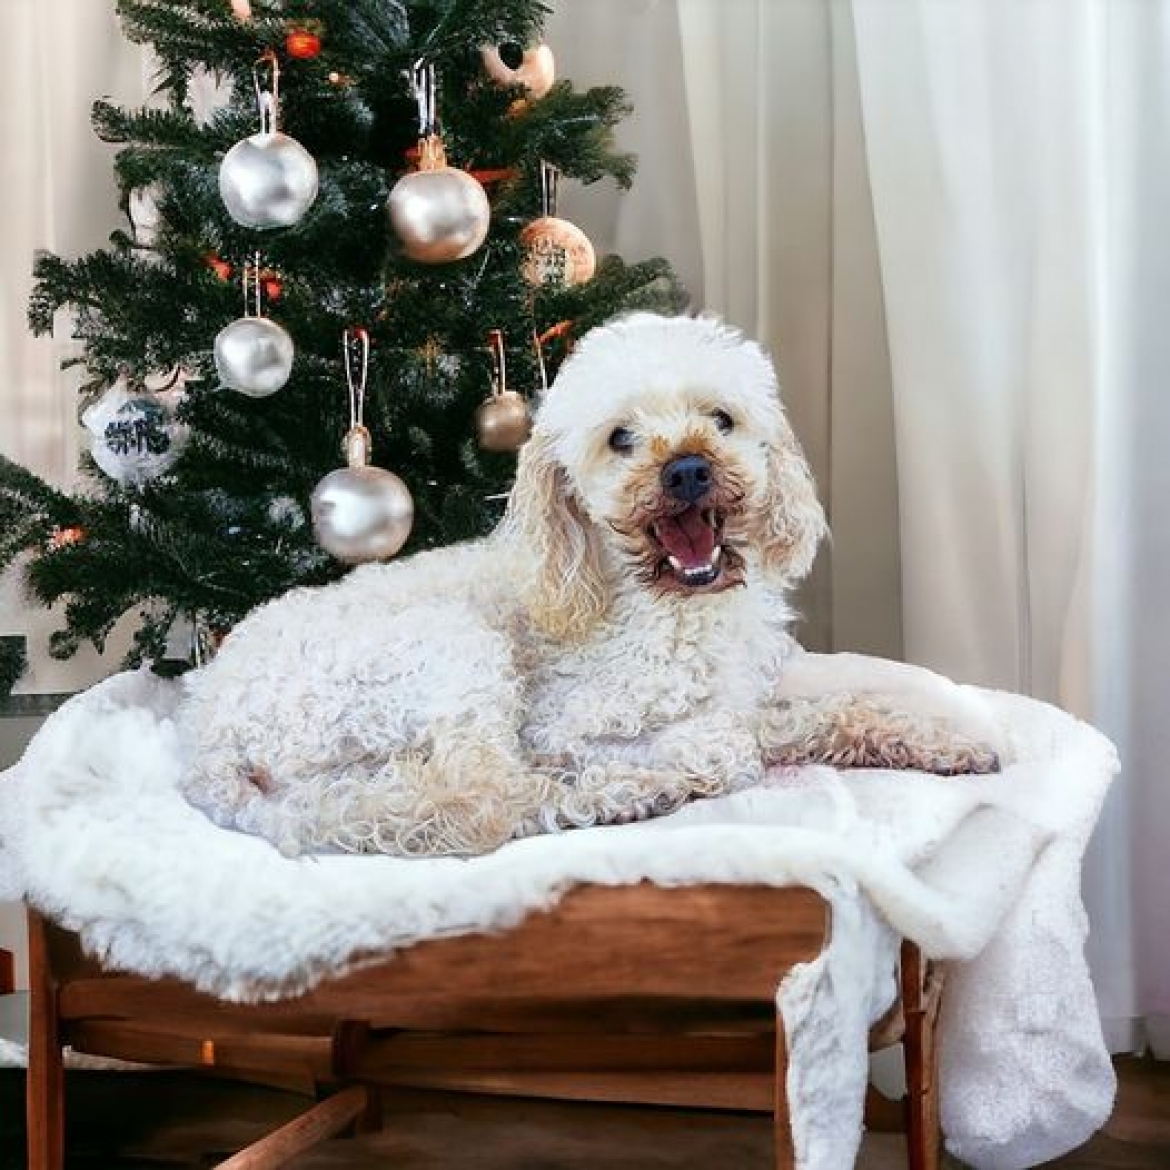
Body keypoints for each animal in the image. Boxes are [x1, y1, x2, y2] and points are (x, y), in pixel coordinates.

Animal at [180, 313, 996, 861]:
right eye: (620, 438)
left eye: (721, 419)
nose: (688, 469)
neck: (669, 603)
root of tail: (208, 726)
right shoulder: (567, 722)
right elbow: (721, 742)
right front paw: (673, 765)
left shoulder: (745, 693)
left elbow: (832, 707)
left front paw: (945, 740)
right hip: (455, 652)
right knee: (477, 798)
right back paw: (624, 793)